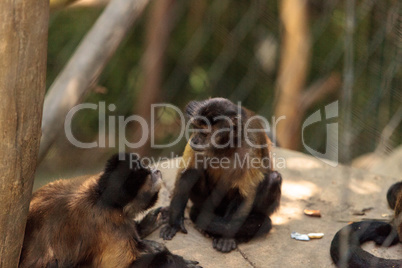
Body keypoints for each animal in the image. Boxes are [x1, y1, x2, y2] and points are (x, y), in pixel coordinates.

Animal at [19, 153, 200, 268]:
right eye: (149, 173)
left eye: (147, 168)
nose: (155, 170)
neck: (102, 198)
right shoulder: (110, 224)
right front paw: (174, 260)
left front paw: (147, 225)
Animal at [159, 97, 282, 252]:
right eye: (196, 128)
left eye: (204, 133)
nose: (194, 140)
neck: (224, 148)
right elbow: (187, 175)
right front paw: (174, 222)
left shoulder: (249, 149)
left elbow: (244, 196)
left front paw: (226, 237)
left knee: (274, 178)